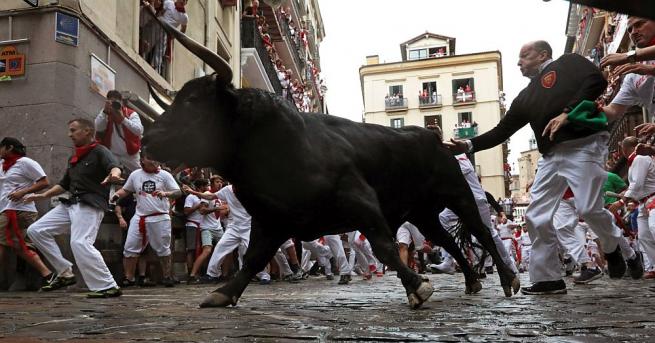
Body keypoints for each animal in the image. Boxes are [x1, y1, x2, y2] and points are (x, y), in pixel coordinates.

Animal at [142, 19, 516, 310]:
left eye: (192, 101)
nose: (149, 137)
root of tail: (436, 140)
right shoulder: (270, 220)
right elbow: (252, 259)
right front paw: (223, 293)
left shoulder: (360, 201)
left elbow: (385, 247)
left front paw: (418, 286)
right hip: (423, 213)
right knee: (449, 242)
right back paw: (472, 281)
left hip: (458, 194)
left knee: (482, 232)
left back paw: (508, 278)